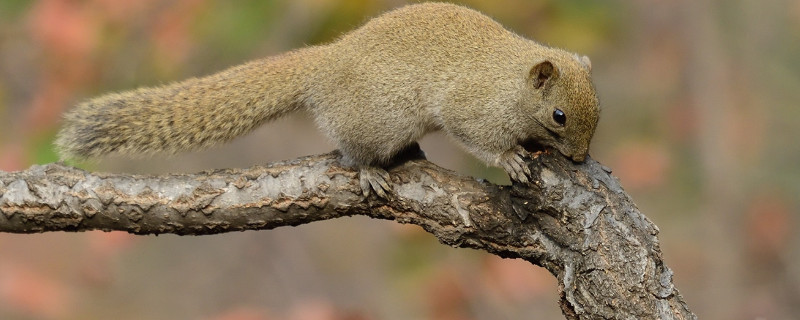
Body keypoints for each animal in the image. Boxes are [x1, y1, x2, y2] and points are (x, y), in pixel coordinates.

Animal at [56, 3, 600, 198]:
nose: (579, 159)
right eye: (559, 115)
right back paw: (371, 171)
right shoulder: (471, 105)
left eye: (598, 110)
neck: (512, 81)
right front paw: (511, 159)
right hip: (378, 120)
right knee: (352, 150)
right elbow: (477, 137)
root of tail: (325, 64)